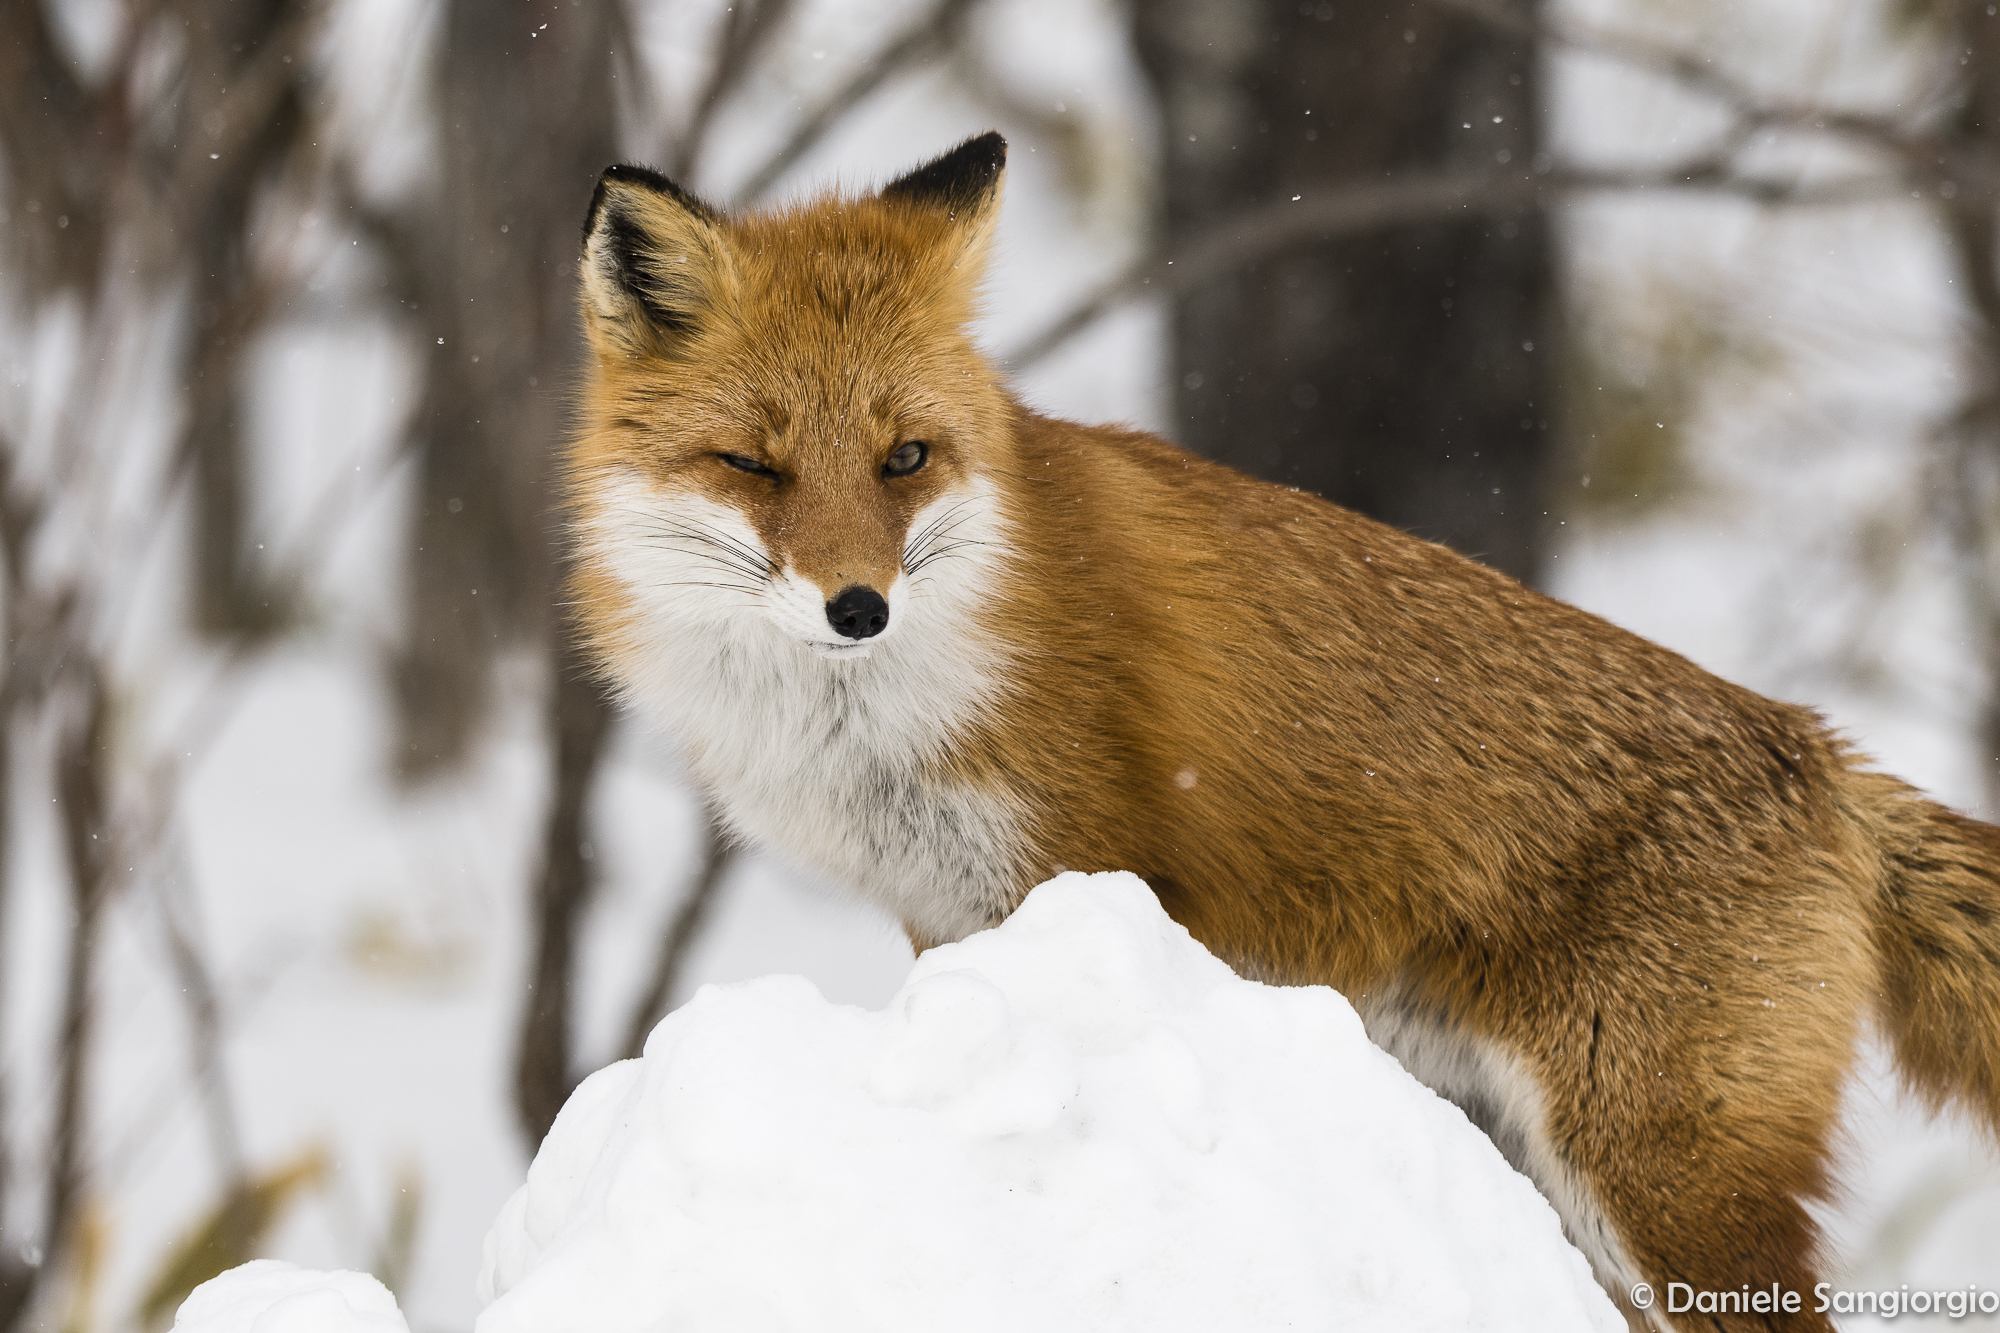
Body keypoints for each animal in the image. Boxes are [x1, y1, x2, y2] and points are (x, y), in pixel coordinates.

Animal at [563, 132, 2000, 1330]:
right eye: (753, 466)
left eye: (904, 459)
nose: (857, 606)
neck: (869, 721)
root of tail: (1824, 758)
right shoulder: (947, 913)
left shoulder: (1077, 873)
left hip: (1657, 1182)